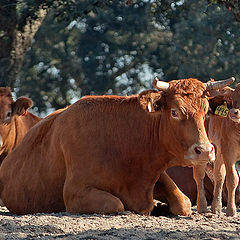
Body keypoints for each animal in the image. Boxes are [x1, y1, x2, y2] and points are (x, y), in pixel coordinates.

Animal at [0, 78, 232, 215]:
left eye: (205, 111)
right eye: (174, 112)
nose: (205, 150)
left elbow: (183, 203)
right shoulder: (75, 192)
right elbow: (115, 204)